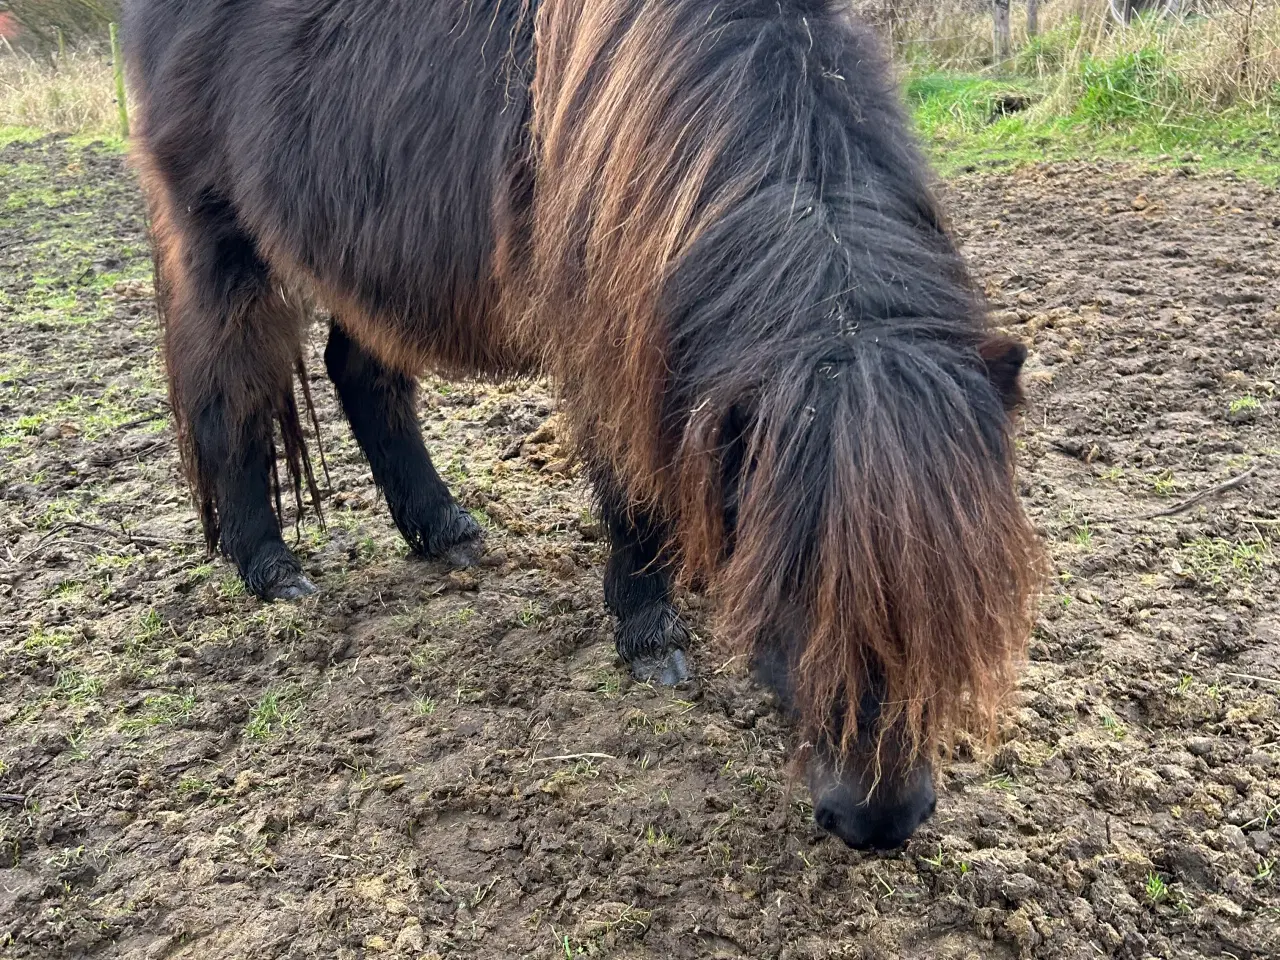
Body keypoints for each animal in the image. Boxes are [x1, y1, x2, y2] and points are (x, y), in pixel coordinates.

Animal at [122, 0, 1039, 855]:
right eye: (789, 581)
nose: (878, 818)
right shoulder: (605, 344)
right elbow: (634, 494)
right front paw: (648, 633)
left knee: (362, 375)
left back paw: (443, 529)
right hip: (219, 243)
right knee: (225, 395)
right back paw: (270, 566)